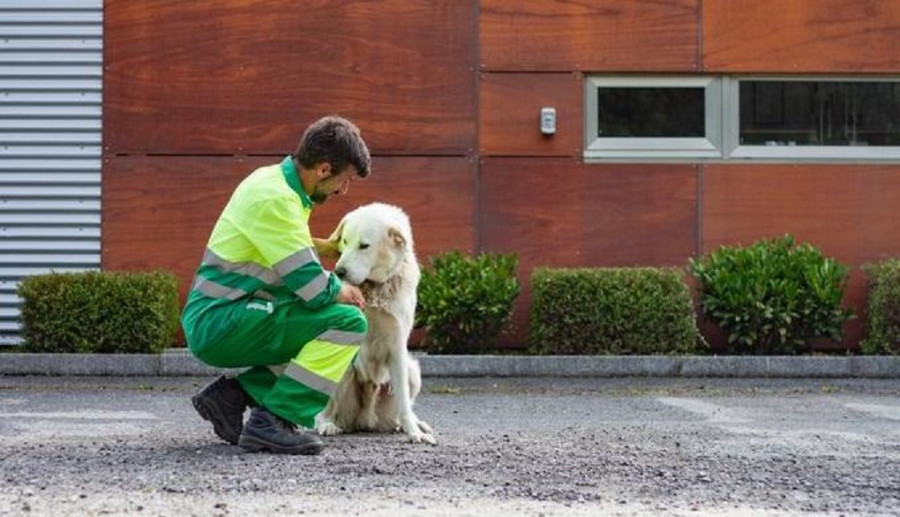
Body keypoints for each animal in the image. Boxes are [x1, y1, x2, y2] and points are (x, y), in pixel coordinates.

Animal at [316, 202, 436, 444]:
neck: (373, 288)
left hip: (412, 371)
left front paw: (414, 432)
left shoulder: (397, 344)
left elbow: (404, 402)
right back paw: (328, 424)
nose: (339, 272)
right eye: (345, 241)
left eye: (364, 245)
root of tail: (365, 418)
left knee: (405, 407)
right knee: (325, 410)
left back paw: (414, 424)